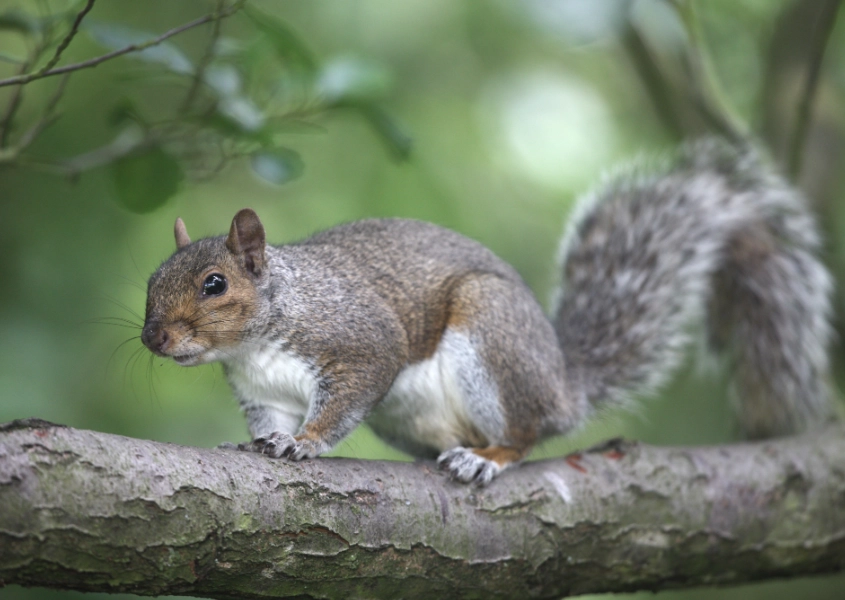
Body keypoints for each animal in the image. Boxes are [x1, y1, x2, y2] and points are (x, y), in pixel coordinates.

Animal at [141, 139, 834, 485]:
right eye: (151, 280)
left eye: (214, 284)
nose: (152, 339)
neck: (259, 338)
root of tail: (563, 387)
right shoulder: (263, 391)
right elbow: (268, 420)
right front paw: (259, 442)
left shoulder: (360, 341)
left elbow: (344, 400)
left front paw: (306, 443)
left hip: (493, 339)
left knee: (524, 434)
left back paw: (489, 458)